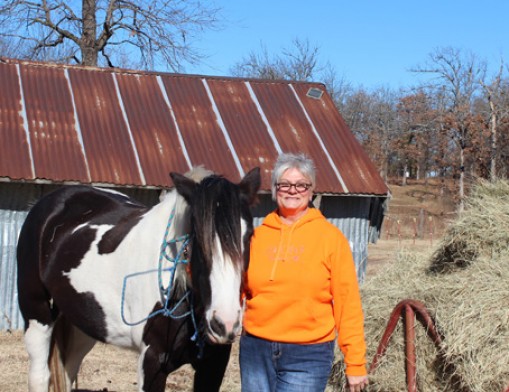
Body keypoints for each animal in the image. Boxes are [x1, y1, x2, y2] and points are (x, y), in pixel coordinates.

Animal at [17, 166, 260, 392]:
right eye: (197, 238)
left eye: (249, 235)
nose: (224, 323)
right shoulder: (152, 360)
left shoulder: (213, 364)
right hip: (38, 318)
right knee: (40, 376)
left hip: (81, 325)